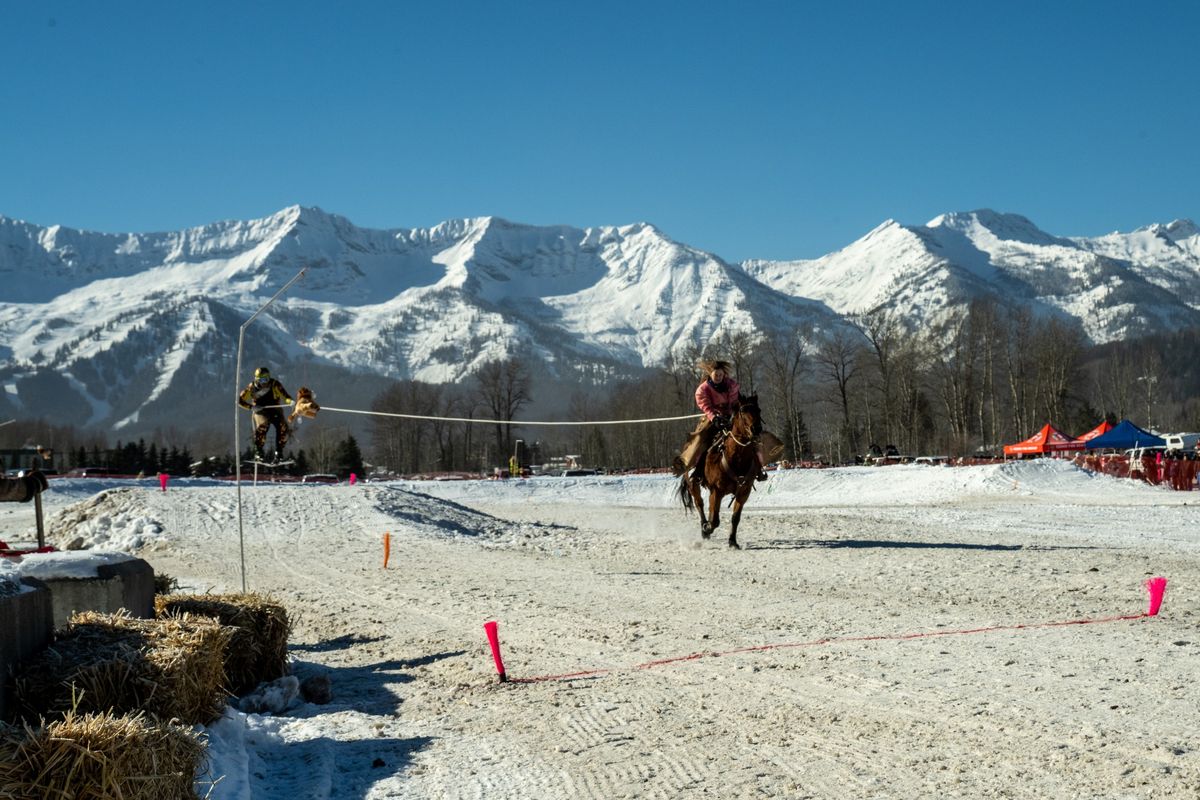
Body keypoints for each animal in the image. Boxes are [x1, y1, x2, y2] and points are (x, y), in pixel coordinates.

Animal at [681, 393, 763, 551]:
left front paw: (732, 541)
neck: (736, 458)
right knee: (699, 504)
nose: (756, 429)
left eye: (758, 410)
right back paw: (704, 529)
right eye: (743, 411)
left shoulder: (744, 491)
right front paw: (707, 529)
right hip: (692, 483)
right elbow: (714, 520)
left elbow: (735, 518)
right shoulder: (716, 491)